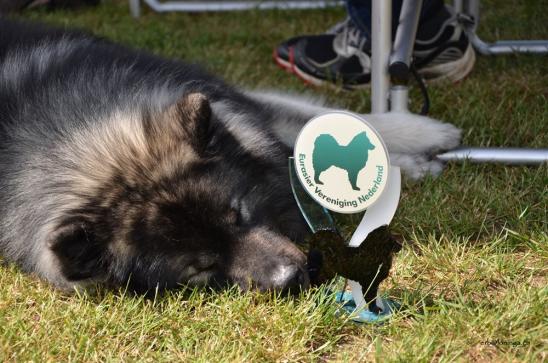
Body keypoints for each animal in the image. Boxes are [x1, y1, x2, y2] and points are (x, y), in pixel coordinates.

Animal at [0, 18, 462, 298]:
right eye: (200, 268)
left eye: (238, 214)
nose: (291, 280)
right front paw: (412, 164)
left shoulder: (237, 104)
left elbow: (319, 122)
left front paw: (422, 135)